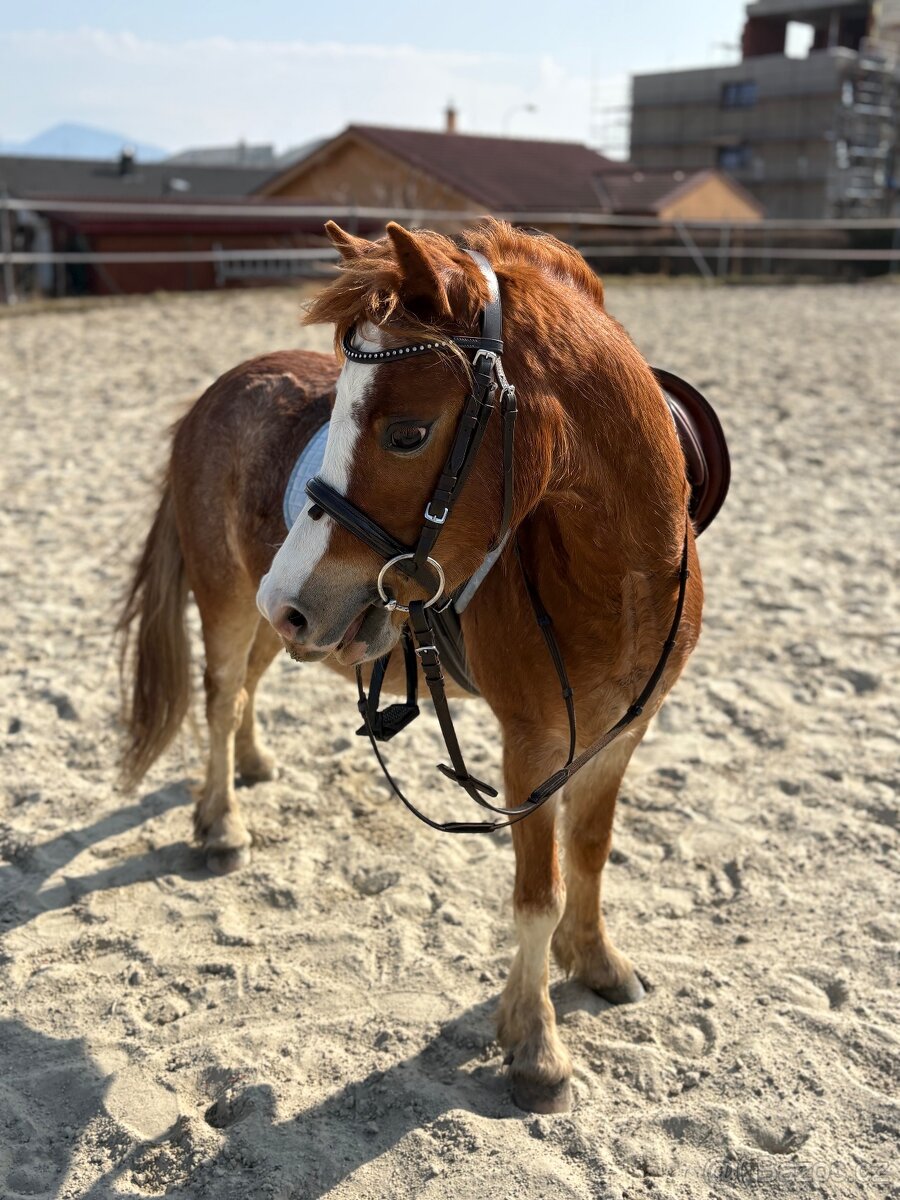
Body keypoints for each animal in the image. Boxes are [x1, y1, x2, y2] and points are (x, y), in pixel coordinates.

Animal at [119, 219, 705, 1113]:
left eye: (406, 433)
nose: (291, 594)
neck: (619, 575)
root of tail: (220, 389)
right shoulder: (531, 749)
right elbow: (538, 894)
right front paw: (535, 1047)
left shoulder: (620, 736)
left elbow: (592, 855)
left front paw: (598, 963)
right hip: (231, 601)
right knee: (220, 699)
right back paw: (221, 824)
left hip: (278, 623)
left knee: (248, 686)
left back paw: (255, 766)